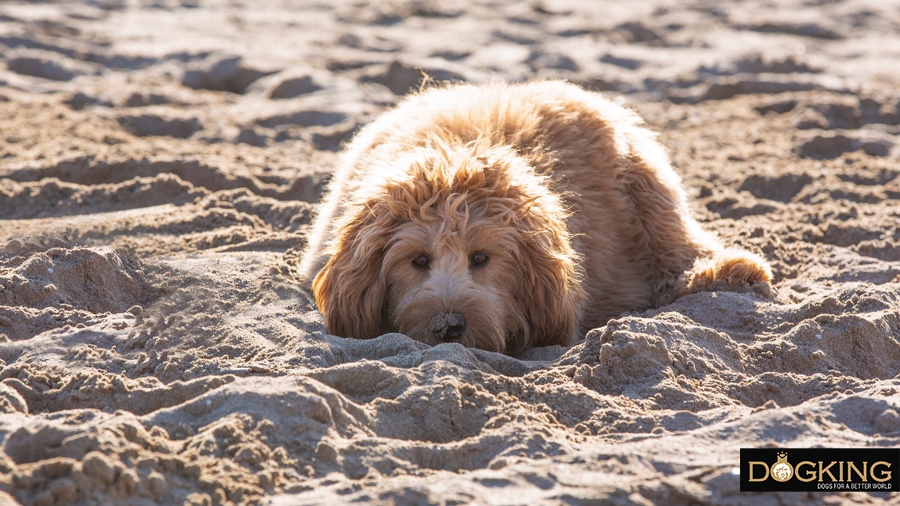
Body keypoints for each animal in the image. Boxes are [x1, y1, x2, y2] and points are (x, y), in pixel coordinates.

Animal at [298, 81, 772, 354]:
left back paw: (728, 270)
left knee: (675, 244)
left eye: (481, 258)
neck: (456, 157)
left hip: (647, 187)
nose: (448, 325)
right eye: (417, 260)